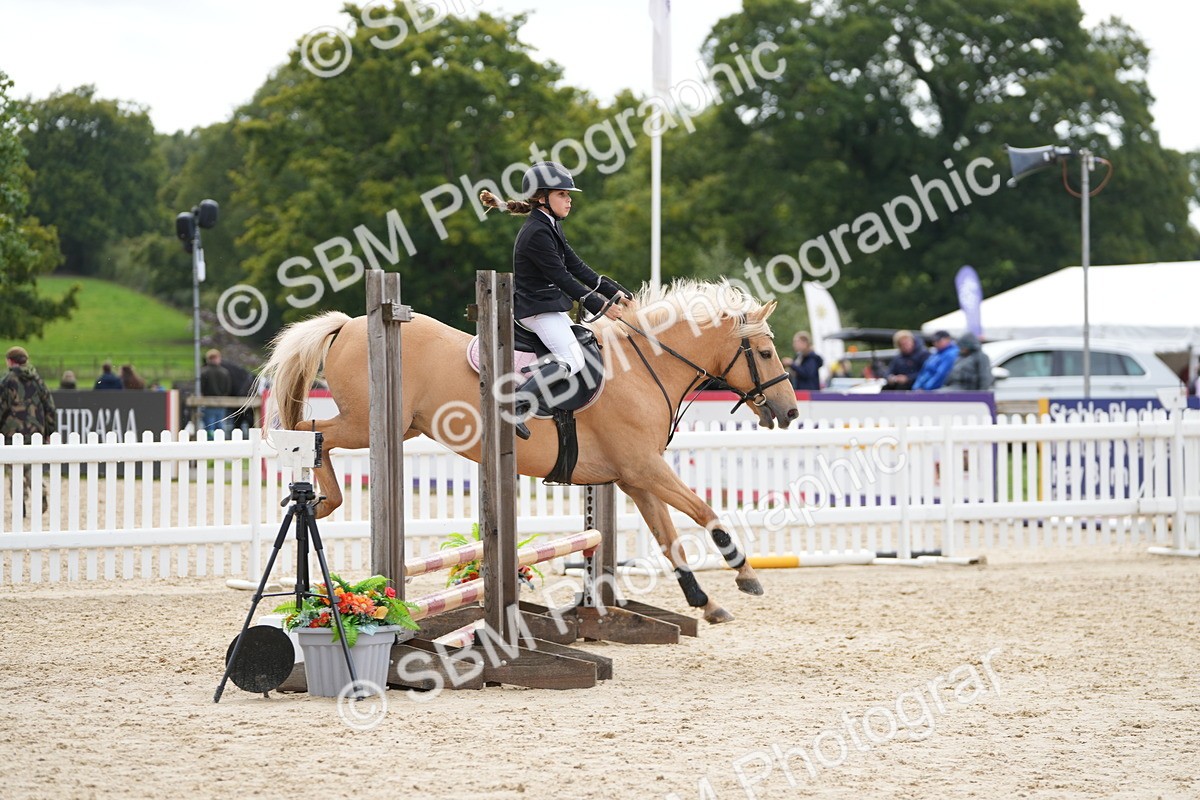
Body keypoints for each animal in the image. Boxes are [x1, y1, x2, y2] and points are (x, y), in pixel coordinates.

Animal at [259, 279, 799, 623]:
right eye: (766, 352)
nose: (790, 412)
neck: (646, 366)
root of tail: (350, 323)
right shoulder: (647, 469)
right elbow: (706, 512)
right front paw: (746, 576)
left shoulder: (635, 478)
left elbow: (670, 540)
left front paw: (705, 602)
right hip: (365, 424)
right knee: (306, 428)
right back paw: (320, 500)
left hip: (398, 427)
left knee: (310, 429)